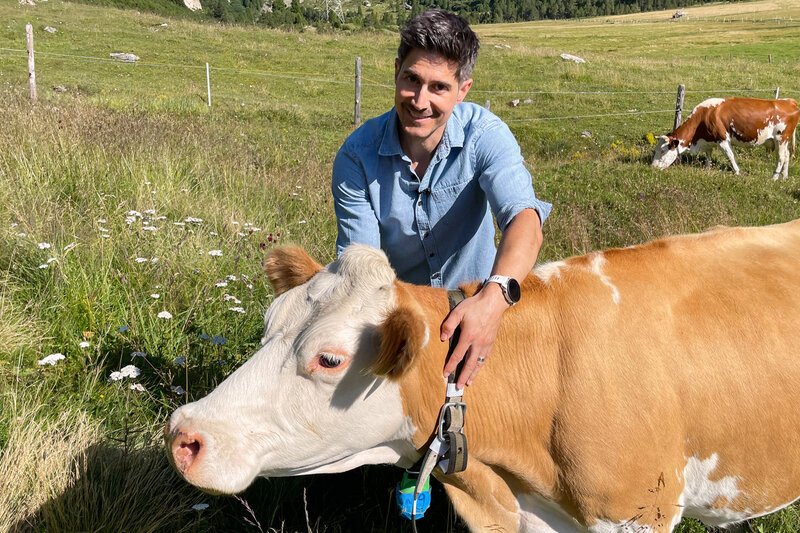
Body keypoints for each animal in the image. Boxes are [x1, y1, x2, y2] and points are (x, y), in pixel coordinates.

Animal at [651, 97, 799, 180]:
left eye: (663, 151)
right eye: (655, 150)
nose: (652, 167)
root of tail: (789, 101)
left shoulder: (722, 139)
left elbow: (730, 156)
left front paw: (737, 172)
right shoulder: (709, 140)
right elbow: (708, 154)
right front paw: (707, 168)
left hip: (780, 138)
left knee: (781, 158)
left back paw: (774, 177)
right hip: (783, 141)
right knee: (786, 156)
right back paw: (784, 177)